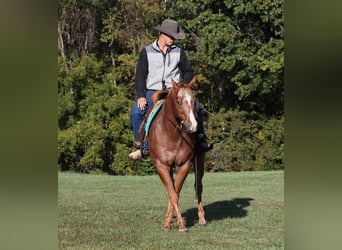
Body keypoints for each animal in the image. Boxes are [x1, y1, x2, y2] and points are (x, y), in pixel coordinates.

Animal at [147, 76, 206, 232]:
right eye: (178, 101)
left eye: (194, 100)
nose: (192, 126)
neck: (171, 134)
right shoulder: (162, 166)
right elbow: (172, 194)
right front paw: (170, 223)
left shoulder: (184, 165)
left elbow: (176, 193)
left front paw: (180, 225)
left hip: (200, 159)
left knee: (198, 187)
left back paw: (202, 218)